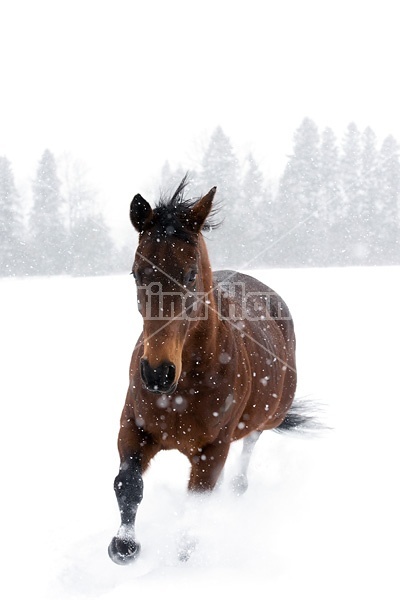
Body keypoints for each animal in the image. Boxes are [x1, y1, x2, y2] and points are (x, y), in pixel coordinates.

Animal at [108, 176, 298, 564]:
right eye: (137, 273)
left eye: (191, 274)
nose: (158, 374)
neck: (182, 388)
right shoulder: (133, 427)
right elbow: (128, 483)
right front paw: (124, 546)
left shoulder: (213, 448)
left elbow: (196, 505)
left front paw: (184, 562)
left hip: (270, 413)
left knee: (252, 441)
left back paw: (239, 486)